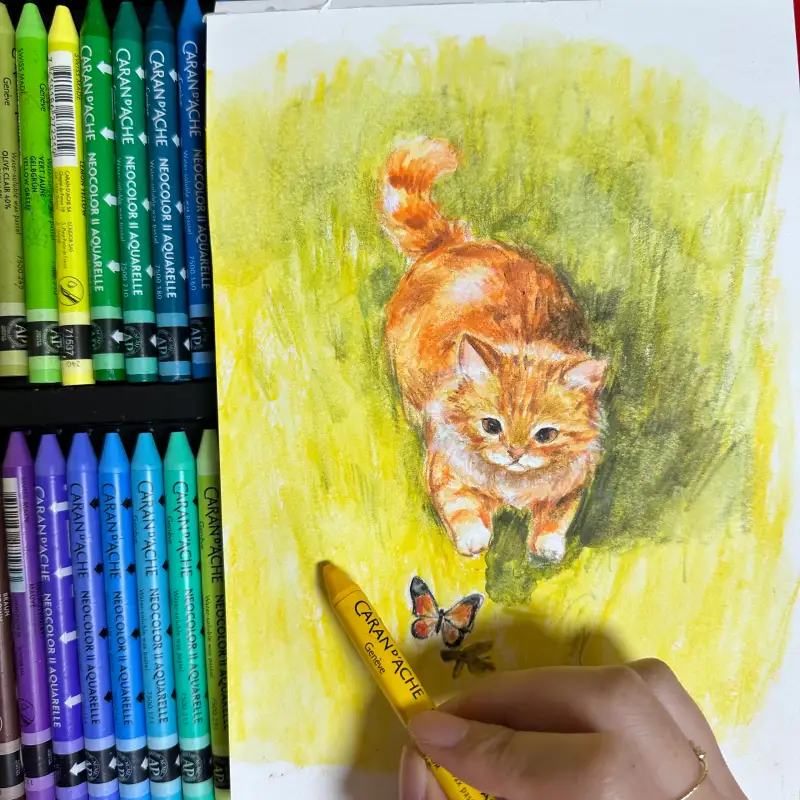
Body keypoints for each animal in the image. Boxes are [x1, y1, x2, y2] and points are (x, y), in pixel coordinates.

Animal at [381, 137, 607, 563]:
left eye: (545, 435)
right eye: (490, 426)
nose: (515, 452)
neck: (511, 484)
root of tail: (456, 243)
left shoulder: (571, 484)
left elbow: (555, 518)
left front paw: (546, 548)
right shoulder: (446, 469)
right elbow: (463, 509)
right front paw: (474, 542)